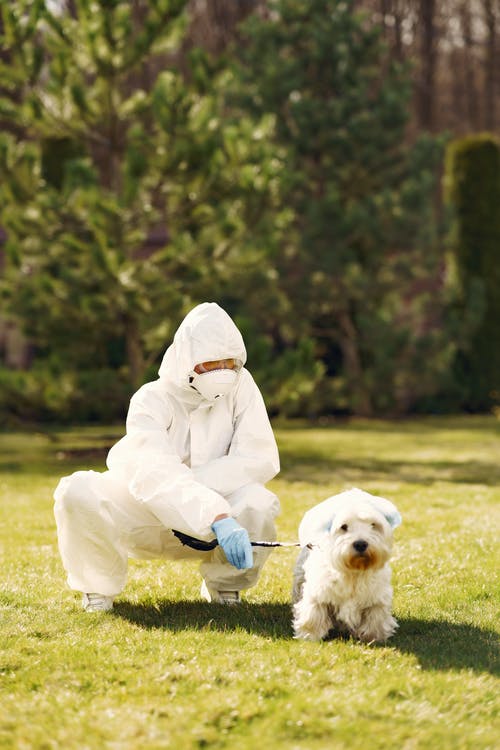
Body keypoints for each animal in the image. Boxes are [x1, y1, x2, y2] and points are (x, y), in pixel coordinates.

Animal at [292, 490, 402, 644]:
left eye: (373, 525)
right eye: (343, 526)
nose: (360, 544)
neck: (353, 570)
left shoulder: (376, 598)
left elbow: (375, 618)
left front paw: (373, 638)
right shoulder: (318, 593)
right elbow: (314, 614)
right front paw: (310, 636)